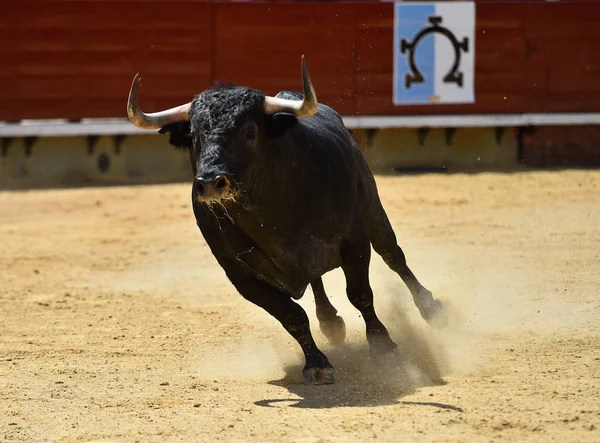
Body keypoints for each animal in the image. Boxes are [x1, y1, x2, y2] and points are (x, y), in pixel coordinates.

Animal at [127, 56, 446, 386]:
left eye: (250, 132)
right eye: (194, 136)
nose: (212, 182)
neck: (270, 213)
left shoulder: (354, 240)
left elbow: (360, 294)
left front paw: (384, 346)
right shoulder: (240, 275)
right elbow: (291, 316)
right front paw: (317, 364)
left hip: (372, 209)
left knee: (393, 255)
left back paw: (432, 309)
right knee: (316, 278)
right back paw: (330, 322)